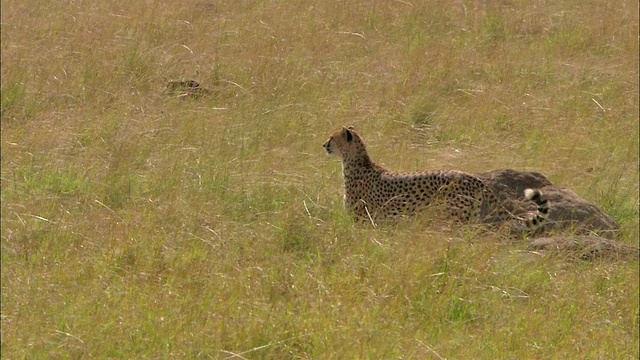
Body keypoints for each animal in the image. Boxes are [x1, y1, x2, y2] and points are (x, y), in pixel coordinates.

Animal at [322, 125, 548, 229]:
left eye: (332, 138)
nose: (324, 144)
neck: (356, 162)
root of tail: (473, 177)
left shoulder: (364, 220)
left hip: (453, 217)